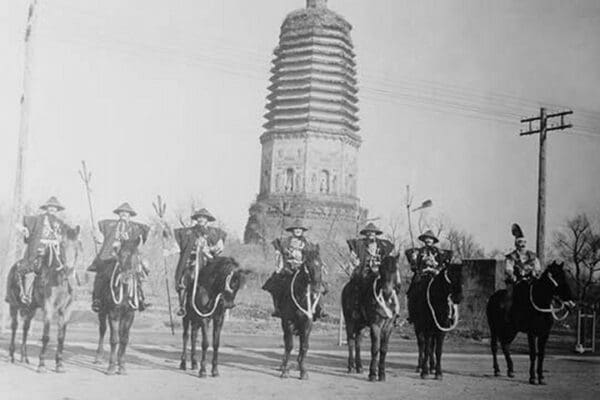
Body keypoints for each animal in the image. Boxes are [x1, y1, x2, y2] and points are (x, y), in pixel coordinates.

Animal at [4, 225, 82, 372]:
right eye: (62, 245)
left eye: (78, 245)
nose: (69, 270)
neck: (60, 281)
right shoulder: (48, 307)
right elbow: (46, 336)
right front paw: (41, 364)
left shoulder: (66, 310)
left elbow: (61, 338)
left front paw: (59, 364)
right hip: (13, 305)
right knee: (15, 326)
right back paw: (11, 355)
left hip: (31, 309)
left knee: (25, 328)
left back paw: (24, 357)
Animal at [94, 238, 145, 376]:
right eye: (120, 255)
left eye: (136, 256)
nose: (125, 278)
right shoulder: (114, 314)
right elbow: (114, 339)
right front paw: (111, 367)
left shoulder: (129, 315)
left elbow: (124, 339)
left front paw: (122, 366)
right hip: (102, 312)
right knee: (102, 330)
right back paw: (98, 357)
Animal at [264, 245, 324, 380]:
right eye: (308, 266)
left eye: (321, 264)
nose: (316, 289)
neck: (300, 296)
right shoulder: (288, 322)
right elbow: (289, 345)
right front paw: (285, 371)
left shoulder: (307, 323)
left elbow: (304, 346)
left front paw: (303, 370)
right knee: (286, 342)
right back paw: (282, 365)